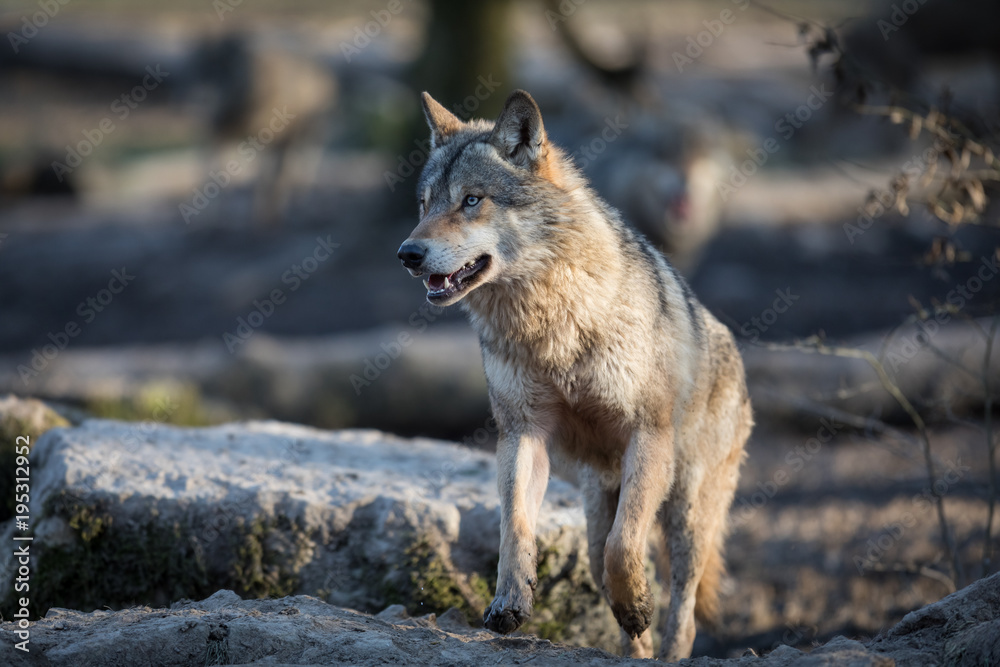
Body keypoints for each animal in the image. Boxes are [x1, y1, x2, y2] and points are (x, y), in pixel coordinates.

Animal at [396, 89, 752, 661]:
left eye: (471, 200)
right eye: (425, 204)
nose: (408, 254)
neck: (552, 324)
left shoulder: (647, 435)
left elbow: (625, 547)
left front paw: (636, 603)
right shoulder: (523, 433)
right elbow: (514, 527)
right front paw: (510, 603)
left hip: (687, 511)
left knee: (681, 603)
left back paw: (666, 647)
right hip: (594, 512)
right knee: (608, 569)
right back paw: (634, 651)